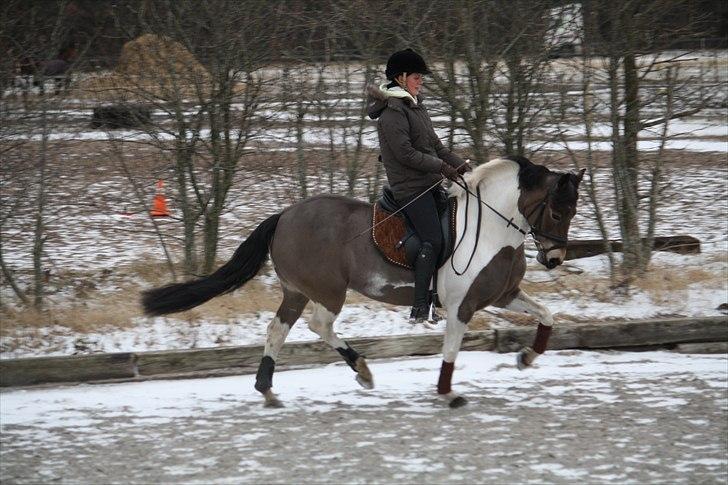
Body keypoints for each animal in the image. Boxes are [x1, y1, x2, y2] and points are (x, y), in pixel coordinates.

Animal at [142, 155, 584, 404]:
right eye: (557, 212)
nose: (554, 259)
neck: (491, 226)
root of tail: (285, 216)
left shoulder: (503, 294)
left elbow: (546, 314)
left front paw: (527, 357)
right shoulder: (462, 305)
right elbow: (451, 351)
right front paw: (447, 392)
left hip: (297, 290)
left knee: (278, 329)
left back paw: (268, 388)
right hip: (327, 290)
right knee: (319, 325)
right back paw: (362, 370)